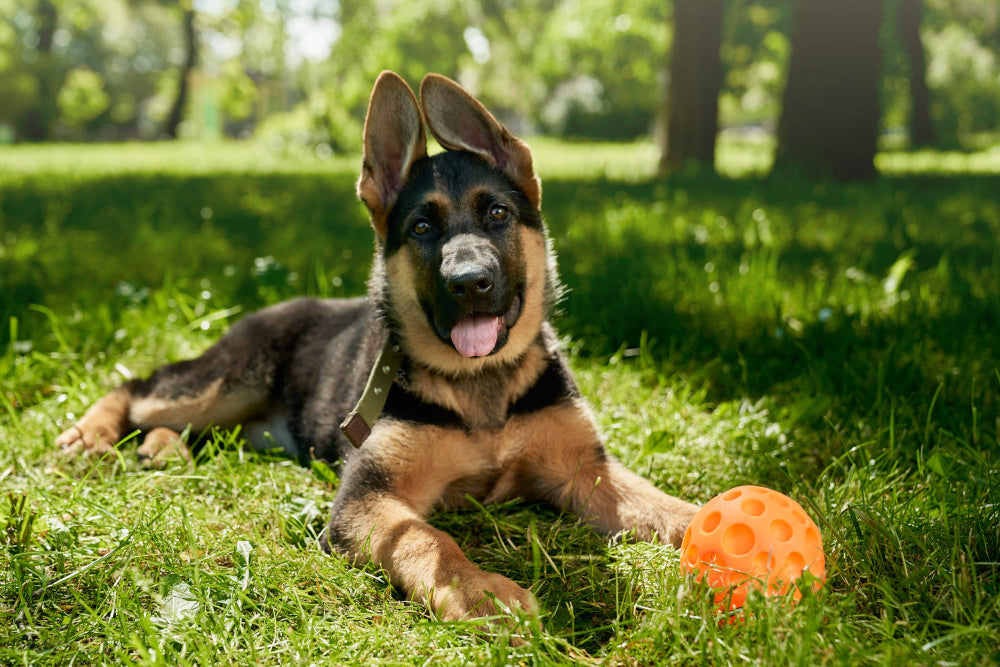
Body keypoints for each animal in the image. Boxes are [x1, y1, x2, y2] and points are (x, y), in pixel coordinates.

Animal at [54, 74, 696, 628]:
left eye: (497, 214)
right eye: (421, 229)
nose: (469, 283)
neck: (479, 387)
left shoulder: (585, 471)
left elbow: (663, 506)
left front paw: (710, 528)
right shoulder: (369, 498)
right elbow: (428, 539)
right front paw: (482, 593)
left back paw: (164, 450)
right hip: (226, 382)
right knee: (141, 387)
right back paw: (92, 434)